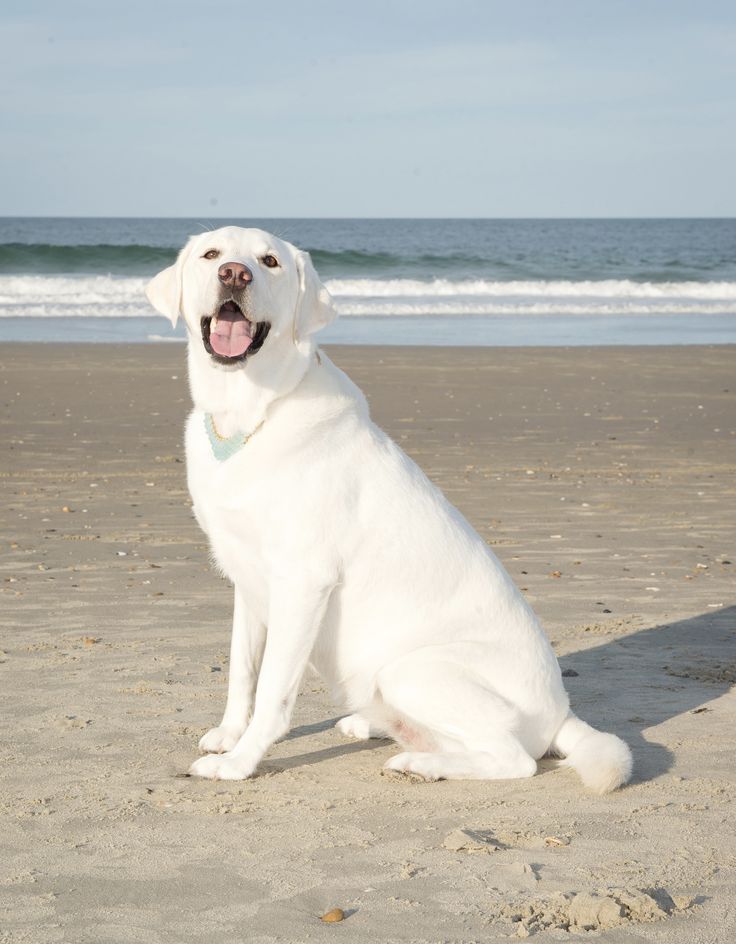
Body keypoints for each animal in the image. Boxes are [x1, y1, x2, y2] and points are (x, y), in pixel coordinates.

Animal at [145, 227, 632, 788]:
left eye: (269, 262)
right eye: (212, 255)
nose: (235, 274)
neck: (246, 417)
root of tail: (562, 714)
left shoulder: (302, 582)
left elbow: (272, 692)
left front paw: (240, 763)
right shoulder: (247, 580)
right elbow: (242, 672)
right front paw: (228, 736)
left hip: (411, 670)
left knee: (515, 760)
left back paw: (420, 764)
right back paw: (375, 726)